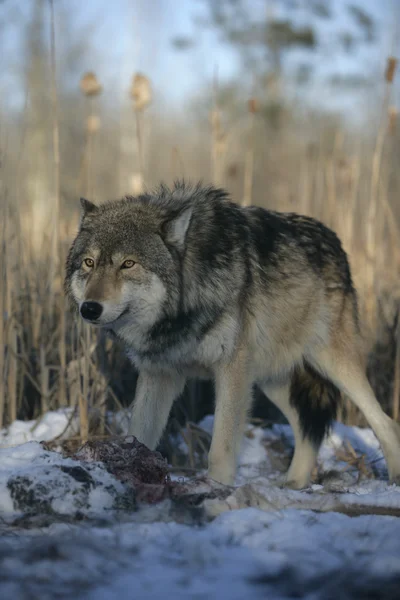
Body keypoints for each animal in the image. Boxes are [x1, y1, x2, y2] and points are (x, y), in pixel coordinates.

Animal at [65, 179, 400, 488]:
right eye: (89, 263)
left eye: (128, 264)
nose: (89, 308)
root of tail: (335, 241)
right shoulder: (159, 374)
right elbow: (139, 434)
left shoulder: (231, 369)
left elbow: (221, 447)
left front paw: (218, 489)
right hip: (270, 380)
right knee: (308, 430)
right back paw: (294, 484)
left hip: (332, 365)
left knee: (384, 421)